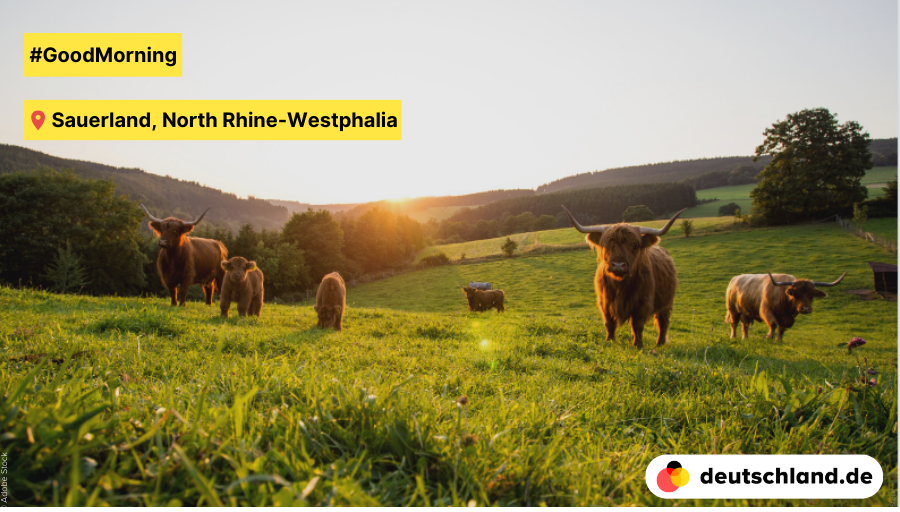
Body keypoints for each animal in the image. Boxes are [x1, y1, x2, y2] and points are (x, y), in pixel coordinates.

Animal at [568, 204, 684, 348]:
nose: (618, 265)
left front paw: (638, 345)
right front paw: (609, 341)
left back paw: (660, 343)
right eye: (607, 244)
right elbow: (609, 323)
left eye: (634, 245)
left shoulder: (642, 303)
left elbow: (637, 325)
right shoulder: (604, 301)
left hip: (666, 303)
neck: (620, 285)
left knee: (663, 322)